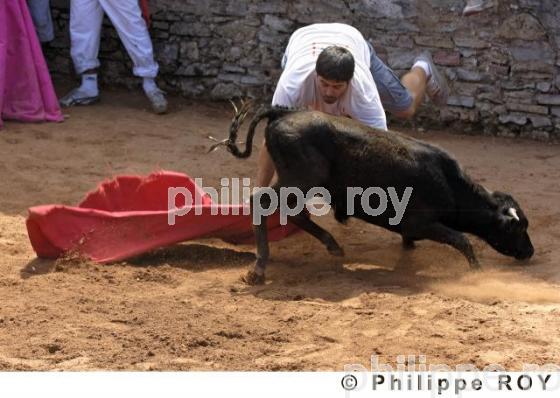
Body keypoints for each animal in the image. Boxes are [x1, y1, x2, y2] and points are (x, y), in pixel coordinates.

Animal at [222, 105, 532, 286]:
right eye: (518, 228)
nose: (530, 252)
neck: (449, 183)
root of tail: (283, 113)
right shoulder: (421, 223)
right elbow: (462, 239)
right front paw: (478, 271)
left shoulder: (413, 228)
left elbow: (412, 243)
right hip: (299, 181)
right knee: (261, 203)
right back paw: (258, 269)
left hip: (298, 183)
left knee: (291, 212)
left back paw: (333, 246)